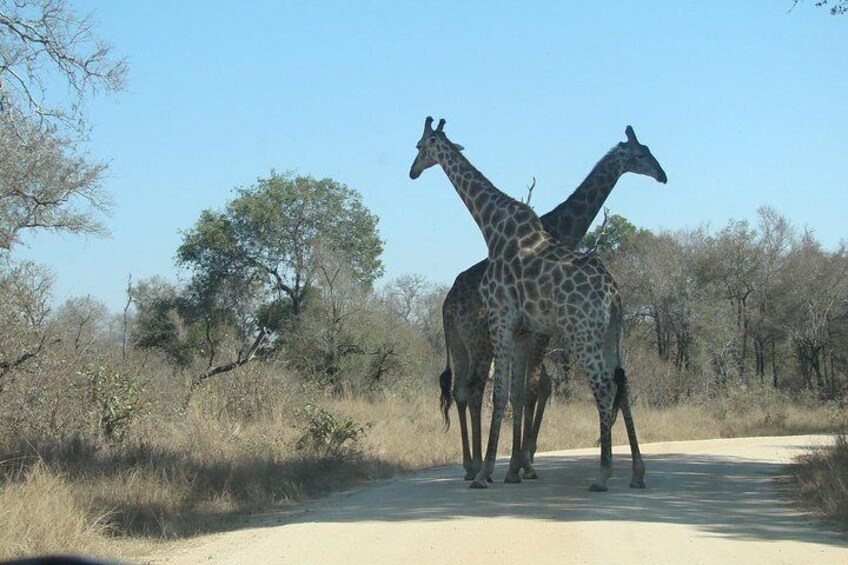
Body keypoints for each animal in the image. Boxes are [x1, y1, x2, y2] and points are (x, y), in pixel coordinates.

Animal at [410, 115, 644, 490]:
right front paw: (513, 467)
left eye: (419, 146)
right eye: (644, 153)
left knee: (604, 387)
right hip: (602, 336)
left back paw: (602, 472)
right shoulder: (524, 330)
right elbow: (521, 391)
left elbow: (512, 392)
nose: (412, 171)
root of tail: (614, 294)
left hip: (577, 335)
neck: (493, 226)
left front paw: (504, 468)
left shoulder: (509, 323)